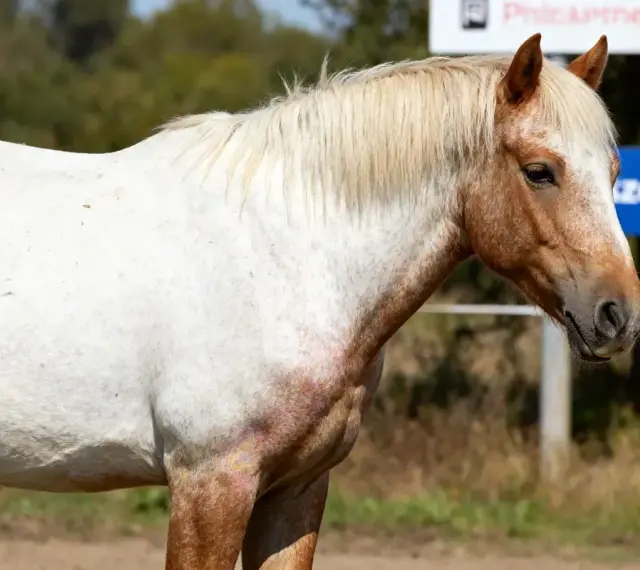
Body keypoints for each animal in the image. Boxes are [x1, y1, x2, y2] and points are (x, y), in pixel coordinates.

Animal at [0, 32, 638, 568]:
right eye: (539, 172)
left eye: (613, 173)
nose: (619, 316)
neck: (284, 256)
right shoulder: (210, 485)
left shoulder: (297, 489)